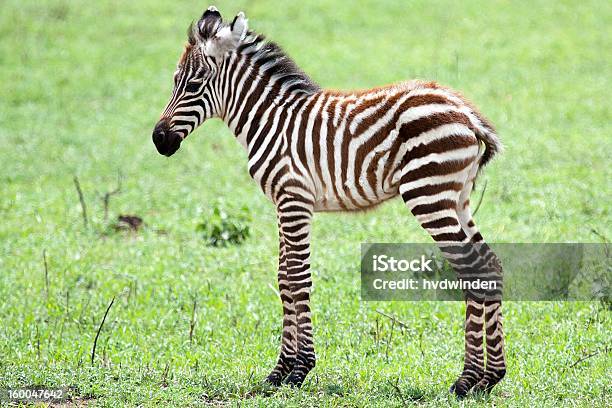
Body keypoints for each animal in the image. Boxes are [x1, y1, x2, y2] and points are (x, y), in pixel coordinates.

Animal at [152, 6, 506, 398]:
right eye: (174, 81)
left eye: (193, 85)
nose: (158, 140)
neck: (270, 119)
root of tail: (467, 113)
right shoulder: (284, 202)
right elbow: (283, 278)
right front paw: (279, 372)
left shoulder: (293, 199)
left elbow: (297, 277)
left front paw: (298, 370)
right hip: (457, 198)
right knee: (489, 265)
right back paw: (490, 377)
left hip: (429, 194)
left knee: (472, 270)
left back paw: (467, 379)